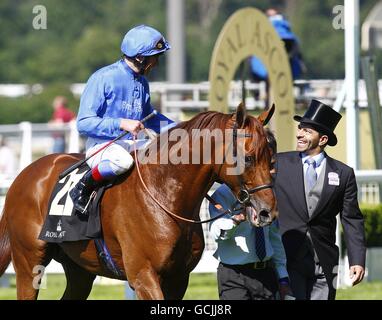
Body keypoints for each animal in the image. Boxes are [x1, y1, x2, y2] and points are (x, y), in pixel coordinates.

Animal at [0, 103, 276, 300]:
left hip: (80, 269)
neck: (165, 196)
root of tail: (25, 174)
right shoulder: (144, 276)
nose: (268, 212)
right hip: (29, 263)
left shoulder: (178, 278)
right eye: (249, 158)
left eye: (271, 157)